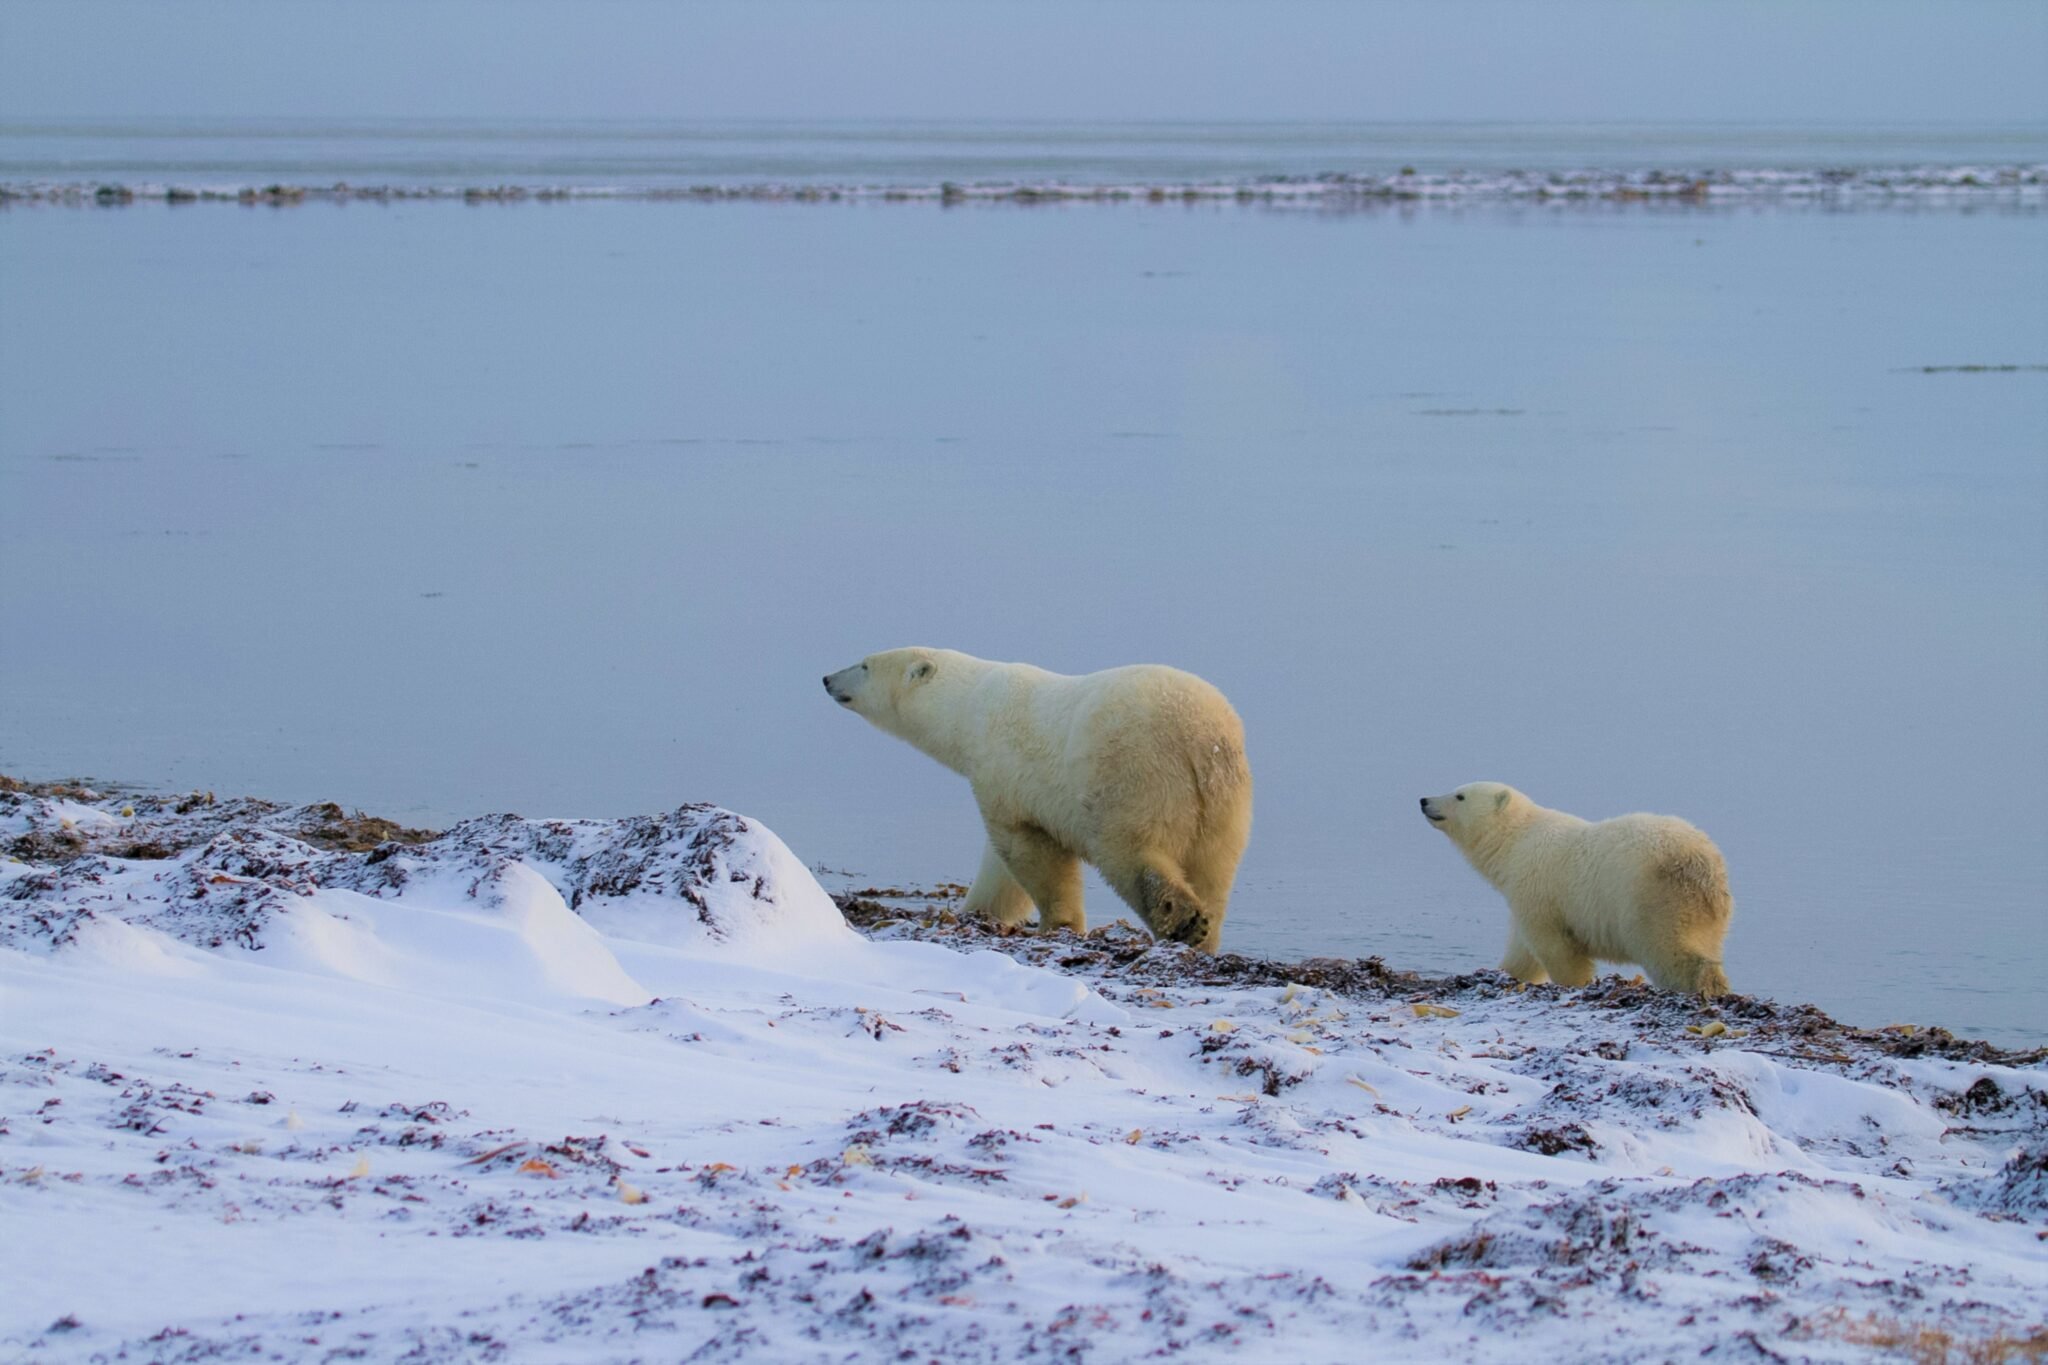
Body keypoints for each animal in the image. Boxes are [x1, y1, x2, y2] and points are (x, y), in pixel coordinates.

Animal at [819, 650, 1245, 949]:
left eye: (865, 664)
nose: (826, 678)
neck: (970, 706)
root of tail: (1200, 737)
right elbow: (1002, 865)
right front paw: (977, 912)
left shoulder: (1004, 770)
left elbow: (1027, 850)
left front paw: (1057, 923)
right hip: (1223, 801)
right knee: (1213, 871)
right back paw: (1205, 936)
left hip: (1132, 773)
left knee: (1129, 850)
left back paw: (1182, 920)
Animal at [1417, 785, 1736, 998]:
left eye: (1460, 795)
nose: (1424, 800)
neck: (1515, 842)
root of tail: (1702, 862)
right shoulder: (1528, 899)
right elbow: (1522, 950)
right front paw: (1503, 973)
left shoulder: (1538, 888)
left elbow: (1556, 948)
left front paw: (1574, 984)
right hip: (1707, 909)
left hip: (1652, 896)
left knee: (1669, 949)